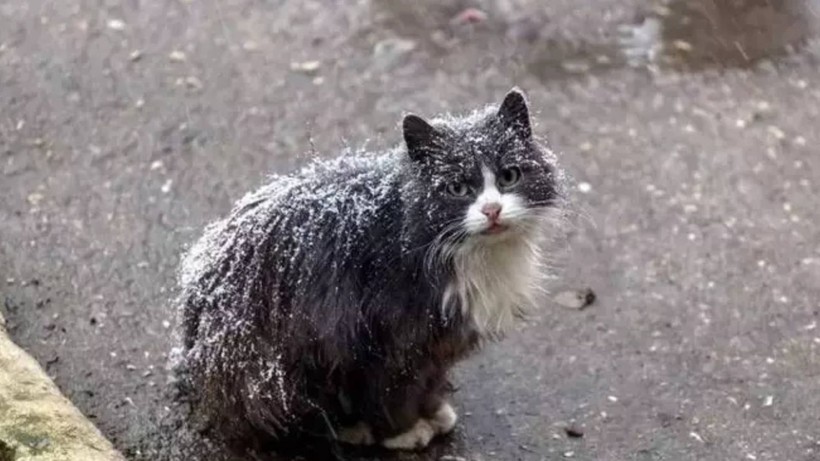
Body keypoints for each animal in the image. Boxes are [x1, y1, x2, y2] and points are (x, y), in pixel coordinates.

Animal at [175, 88, 564, 452]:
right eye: (457, 188)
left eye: (509, 176)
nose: (492, 210)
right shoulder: (386, 340)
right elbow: (392, 392)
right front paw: (404, 432)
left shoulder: (437, 345)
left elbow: (429, 381)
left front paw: (434, 411)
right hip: (277, 370)